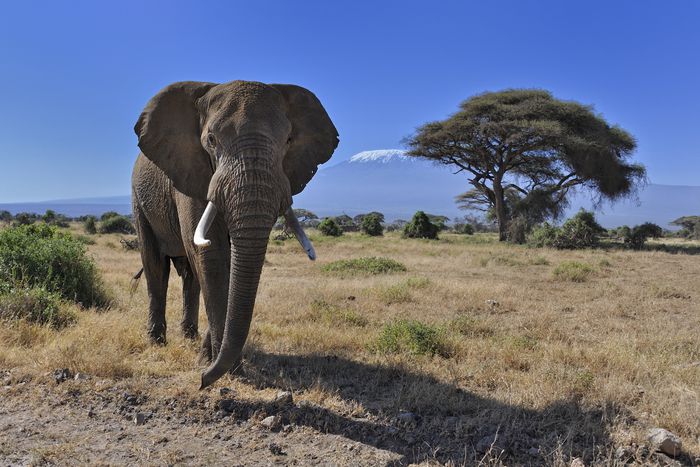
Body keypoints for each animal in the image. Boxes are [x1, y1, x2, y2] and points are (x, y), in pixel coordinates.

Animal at [131, 79, 340, 388]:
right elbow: (212, 255)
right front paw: (226, 369)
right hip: (139, 199)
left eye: (288, 141)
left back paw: (189, 337)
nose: (202, 381)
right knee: (155, 264)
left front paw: (211, 360)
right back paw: (157, 342)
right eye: (211, 140)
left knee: (191, 276)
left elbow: (228, 264)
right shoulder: (191, 170)